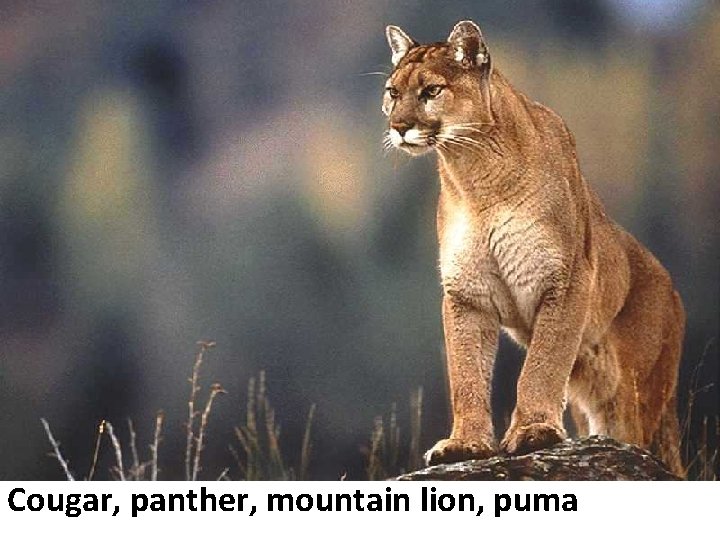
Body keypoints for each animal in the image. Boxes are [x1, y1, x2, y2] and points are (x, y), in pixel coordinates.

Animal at [382, 20, 685, 476]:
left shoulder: (566, 280)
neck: (476, 177)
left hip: (634, 392)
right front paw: (465, 444)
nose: (399, 126)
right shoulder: (466, 294)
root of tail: (672, 288)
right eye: (392, 92)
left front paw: (533, 434)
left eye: (431, 90)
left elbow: (541, 365)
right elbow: (466, 375)